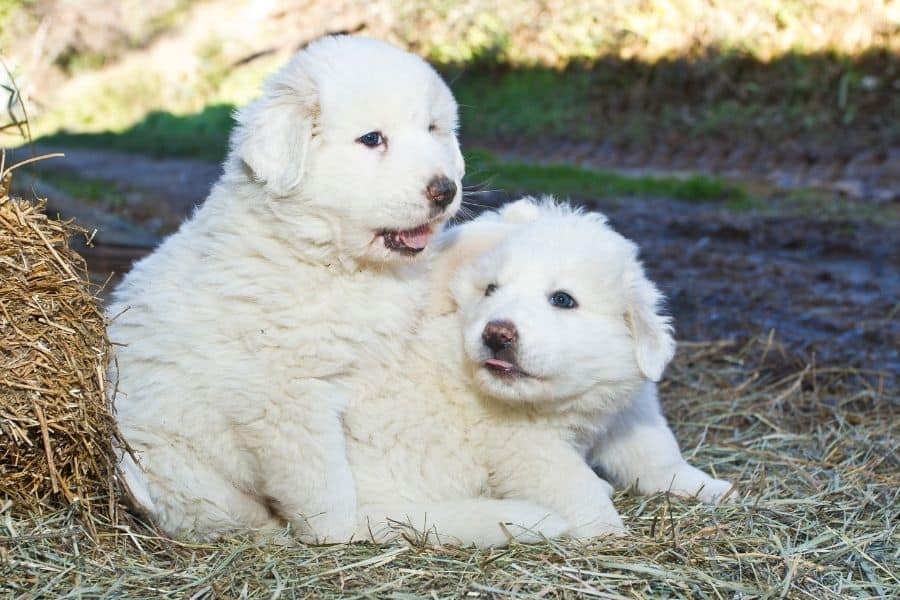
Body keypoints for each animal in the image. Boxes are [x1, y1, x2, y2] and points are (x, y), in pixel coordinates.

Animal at [107, 37, 464, 544]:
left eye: (434, 129)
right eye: (372, 139)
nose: (445, 189)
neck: (330, 259)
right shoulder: (288, 399)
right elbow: (324, 483)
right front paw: (342, 531)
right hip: (175, 467)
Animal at [344, 199, 732, 548]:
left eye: (562, 299)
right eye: (491, 289)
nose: (496, 334)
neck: (562, 398)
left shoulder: (629, 403)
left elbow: (657, 450)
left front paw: (707, 486)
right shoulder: (531, 449)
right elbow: (578, 489)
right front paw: (611, 535)